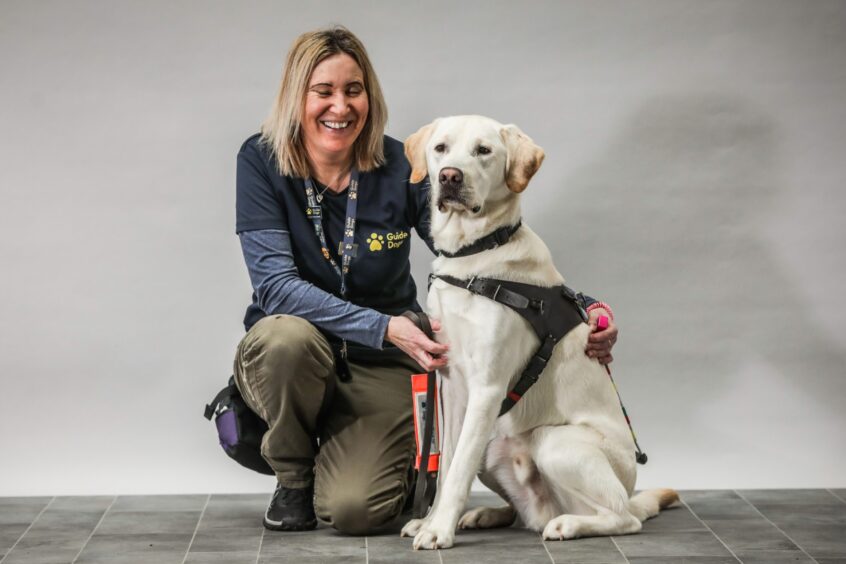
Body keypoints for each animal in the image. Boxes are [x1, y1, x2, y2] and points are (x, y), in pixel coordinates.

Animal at [400, 117, 680, 548]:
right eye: (441, 148)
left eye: (483, 150)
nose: (450, 177)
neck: (474, 257)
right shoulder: (450, 384)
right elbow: (446, 463)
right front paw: (431, 520)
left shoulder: (487, 387)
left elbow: (458, 467)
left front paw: (439, 530)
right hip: (493, 447)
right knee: (519, 511)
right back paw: (486, 515)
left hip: (556, 443)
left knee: (623, 517)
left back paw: (569, 525)